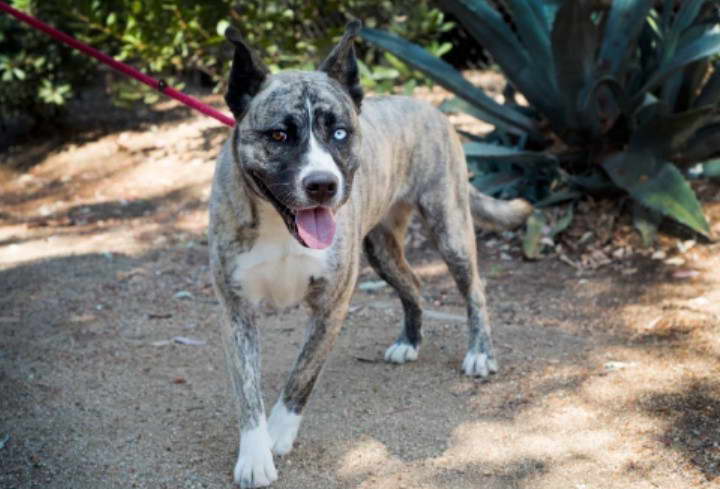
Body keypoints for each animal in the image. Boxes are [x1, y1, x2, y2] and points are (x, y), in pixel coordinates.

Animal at [210, 21, 536, 486]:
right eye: (278, 135)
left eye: (339, 133)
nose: (322, 185)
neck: (280, 224)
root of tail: (429, 108)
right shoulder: (236, 311)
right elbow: (247, 391)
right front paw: (255, 454)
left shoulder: (331, 306)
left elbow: (301, 376)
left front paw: (280, 432)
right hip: (380, 247)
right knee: (413, 284)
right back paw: (409, 341)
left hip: (450, 226)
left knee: (475, 287)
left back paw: (479, 352)